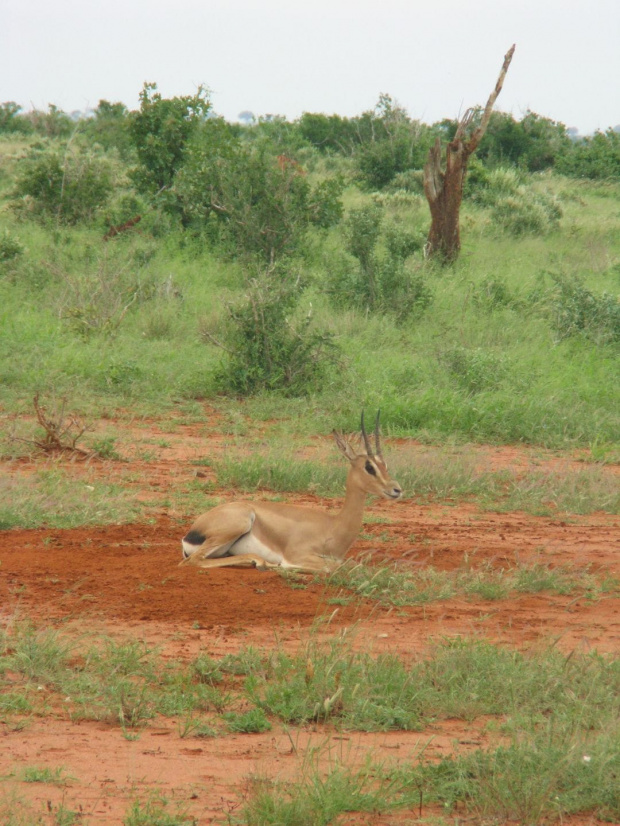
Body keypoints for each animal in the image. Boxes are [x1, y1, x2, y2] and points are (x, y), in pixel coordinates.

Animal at [179, 412, 402, 572]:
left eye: (384, 464)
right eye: (369, 467)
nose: (396, 490)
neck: (333, 526)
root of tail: (191, 533)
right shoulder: (297, 555)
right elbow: (333, 567)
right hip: (239, 523)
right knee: (192, 561)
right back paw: (261, 563)